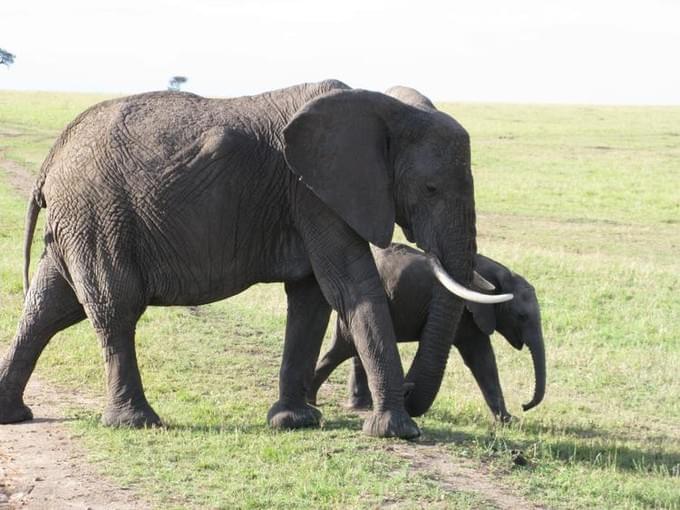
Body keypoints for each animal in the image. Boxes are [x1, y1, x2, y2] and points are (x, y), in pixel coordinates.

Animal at [0, 79, 508, 438]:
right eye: (431, 189)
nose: (410, 392)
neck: (383, 107)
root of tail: (53, 155)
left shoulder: (312, 198)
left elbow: (312, 299)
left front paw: (295, 421)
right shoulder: (314, 194)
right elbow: (350, 288)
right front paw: (396, 432)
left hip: (79, 217)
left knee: (48, 308)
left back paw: (13, 414)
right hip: (98, 212)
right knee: (113, 308)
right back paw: (137, 422)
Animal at [308, 244, 548, 422]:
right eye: (522, 316)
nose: (525, 405)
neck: (501, 272)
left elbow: (483, 360)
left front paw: (508, 420)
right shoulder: (465, 312)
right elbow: (478, 357)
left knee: (353, 350)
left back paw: (358, 406)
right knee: (341, 350)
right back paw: (313, 401)